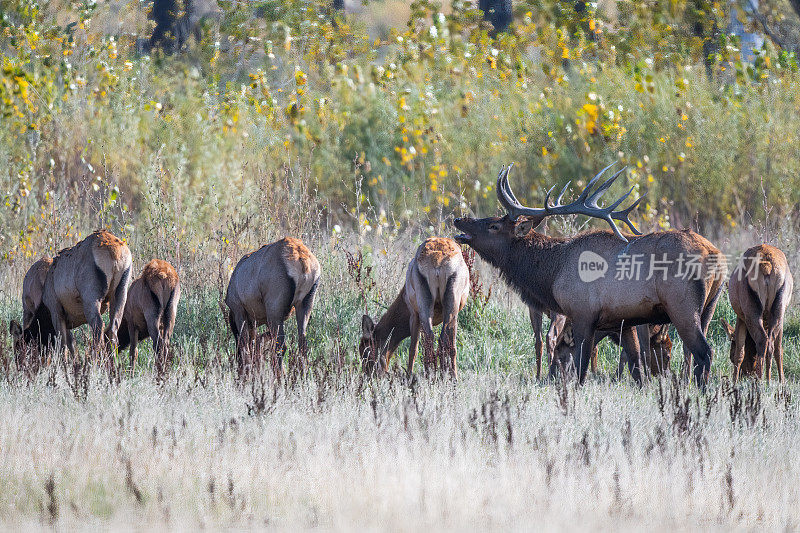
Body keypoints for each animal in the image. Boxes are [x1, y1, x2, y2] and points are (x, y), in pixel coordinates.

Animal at [42, 229, 133, 358]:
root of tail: (115, 253)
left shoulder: (56, 310)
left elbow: (63, 344)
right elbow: (70, 344)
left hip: (91, 298)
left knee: (98, 325)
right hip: (120, 293)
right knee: (113, 328)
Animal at [223, 237, 320, 374]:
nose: (239, 368)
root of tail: (303, 262)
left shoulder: (239, 310)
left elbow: (245, 345)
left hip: (274, 309)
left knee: (281, 346)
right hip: (305, 303)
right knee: (302, 344)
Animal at [358, 237, 468, 378]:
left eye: (366, 350)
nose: (369, 376)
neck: (404, 295)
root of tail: (437, 261)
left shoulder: (414, 314)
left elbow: (413, 348)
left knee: (434, 338)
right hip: (444, 305)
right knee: (439, 339)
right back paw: (445, 376)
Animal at [456, 163, 724, 386]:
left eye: (494, 225)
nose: (459, 219)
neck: (552, 274)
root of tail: (717, 256)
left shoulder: (583, 313)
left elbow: (581, 369)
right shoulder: (623, 322)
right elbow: (637, 369)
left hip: (682, 306)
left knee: (704, 352)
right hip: (709, 308)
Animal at [720, 245, 792, 382]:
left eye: (730, 355)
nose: (746, 375)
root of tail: (767, 266)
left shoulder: (741, 318)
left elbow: (740, 352)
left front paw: (734, 382)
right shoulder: (781, 319)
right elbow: (779, 349)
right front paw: (782, 381)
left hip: (751, 313)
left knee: (762, 340)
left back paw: (760, 381)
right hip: (778, 310)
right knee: (770, 343)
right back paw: (768, 381)